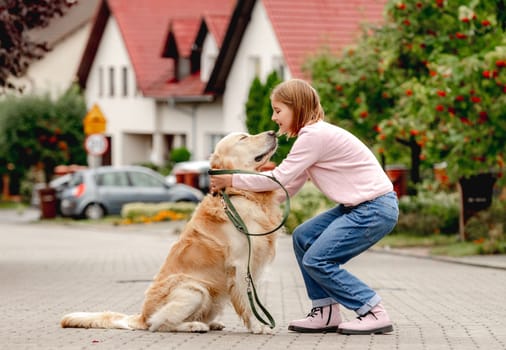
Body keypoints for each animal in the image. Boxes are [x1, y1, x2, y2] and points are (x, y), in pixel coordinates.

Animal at [61, 131, 282, 334]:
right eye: (243, 138)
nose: (273, 132)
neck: (240, 194)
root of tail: (141, 316)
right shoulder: (240, 264)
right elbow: (248, 302)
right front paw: (258, 326)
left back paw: (211, 323)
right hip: (195, 290)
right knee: (160, 323)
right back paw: (194, 326)